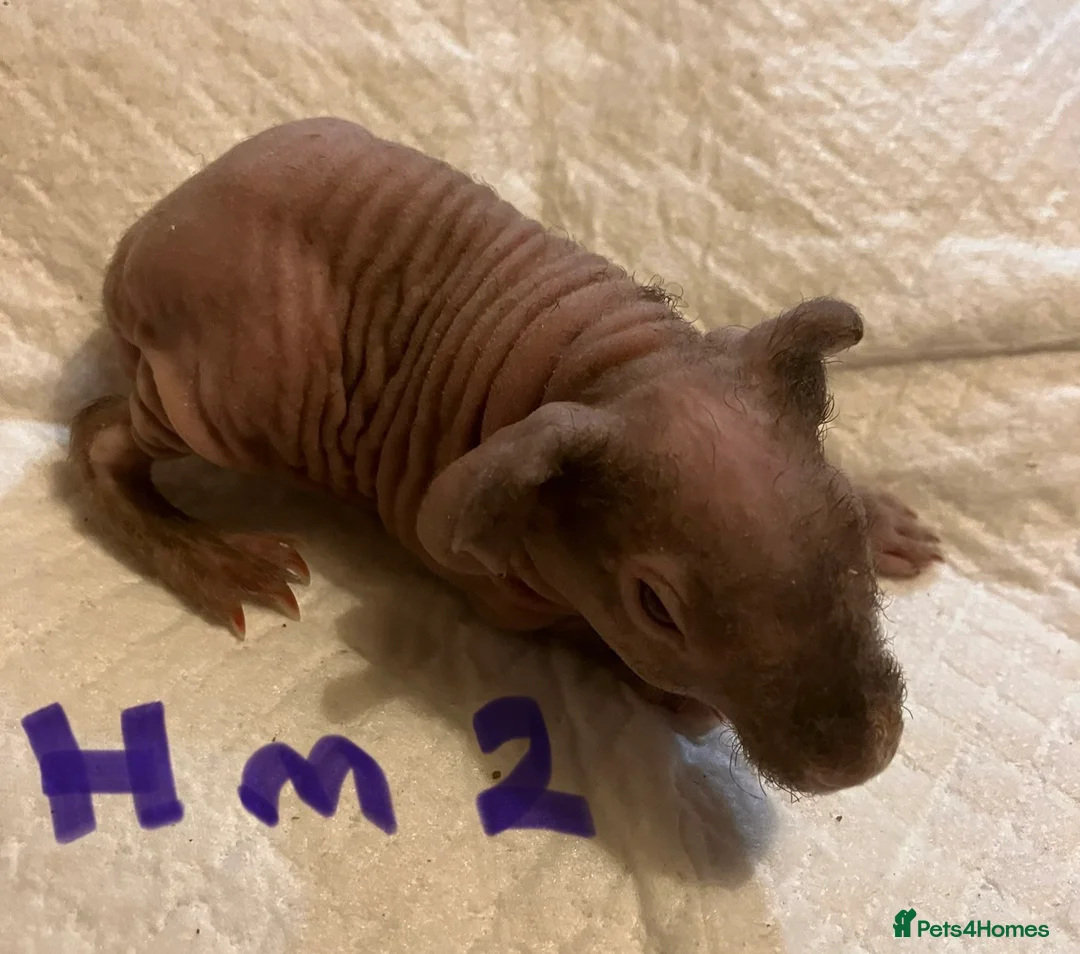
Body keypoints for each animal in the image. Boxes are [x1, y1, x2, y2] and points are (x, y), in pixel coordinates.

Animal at [68, 117, 942, 796]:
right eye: (656, 609)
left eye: (845, 527)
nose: (859, 760)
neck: (622, 366)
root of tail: (136, 242)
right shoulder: (497, 587)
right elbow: (584, 637)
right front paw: (675, 699)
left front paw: (888, 517)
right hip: (238, 381)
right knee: (101, 435)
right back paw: (209, 555)